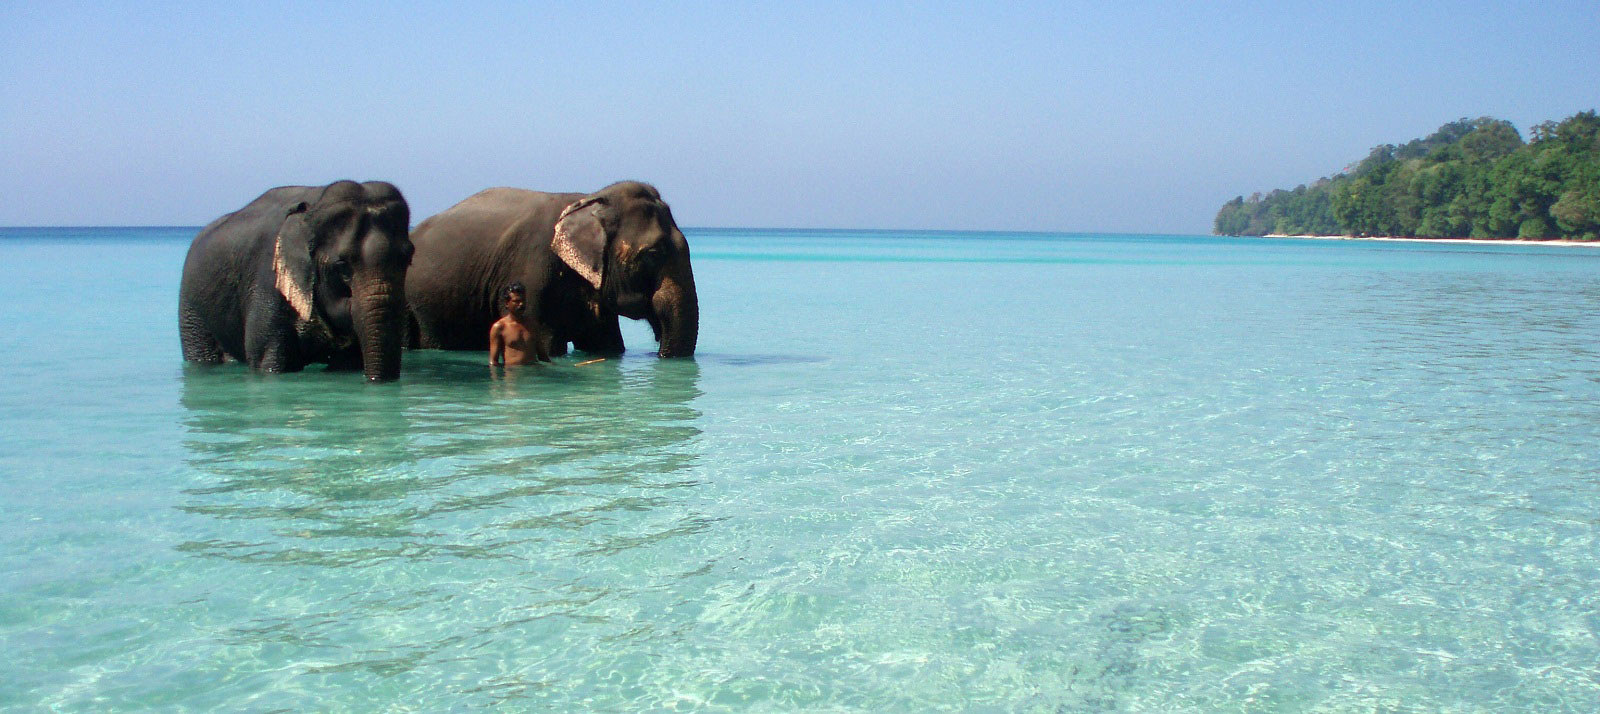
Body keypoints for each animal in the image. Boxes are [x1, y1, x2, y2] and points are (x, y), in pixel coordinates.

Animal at [179, 181, 413, 381]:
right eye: (341, 264)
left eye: (408, 257)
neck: (314, 205)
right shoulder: (268, 282)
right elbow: (268, 361)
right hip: (192, 310)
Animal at [405, 181, 698, 359]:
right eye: (654, 254)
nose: (658, 353)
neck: (590, 201)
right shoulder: (533, 273)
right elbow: (546, 343)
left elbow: (606, 344)